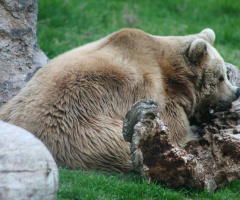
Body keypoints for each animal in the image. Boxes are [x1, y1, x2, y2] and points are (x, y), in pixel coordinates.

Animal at [0, 28, 238, 172]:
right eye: (220, 77)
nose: (236, 91)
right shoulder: (159, 94)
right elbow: (176, 131)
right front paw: (195, 131)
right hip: (80, 128)